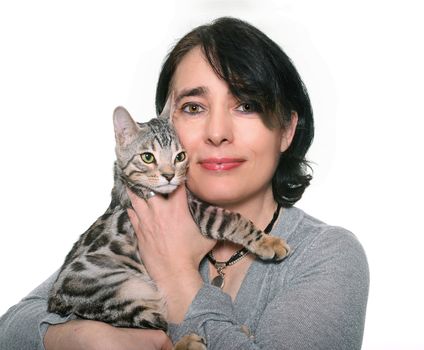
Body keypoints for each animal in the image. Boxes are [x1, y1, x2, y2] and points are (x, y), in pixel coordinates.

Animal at [48, 105, 290, 348]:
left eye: (180, 156)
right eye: (147, 157)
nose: (169, 175)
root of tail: (56, 303)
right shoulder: (199, 214)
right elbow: (234, 219)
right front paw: (270, 243)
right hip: (129, 292)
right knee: (159, 330)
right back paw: (192, 342)